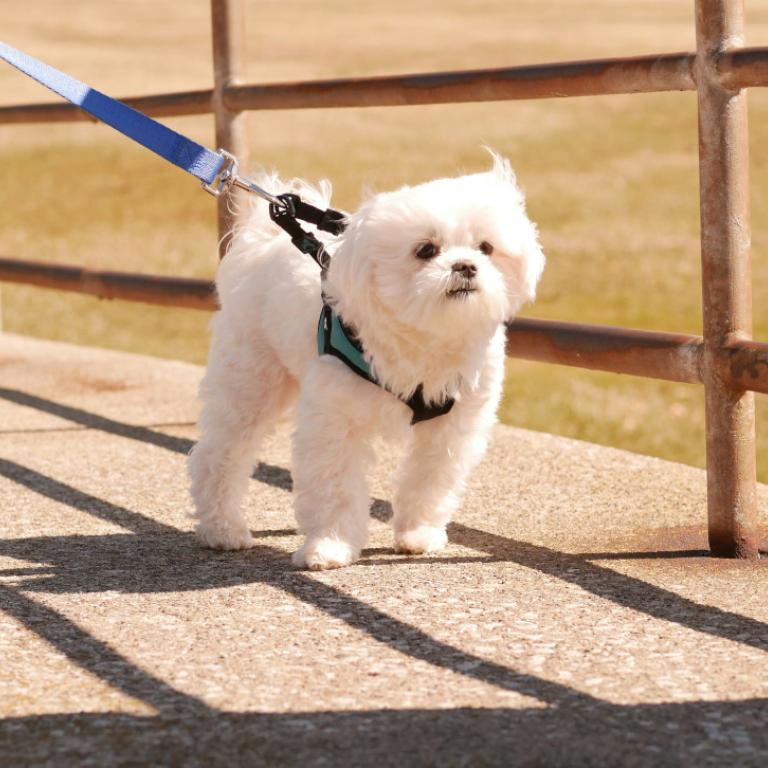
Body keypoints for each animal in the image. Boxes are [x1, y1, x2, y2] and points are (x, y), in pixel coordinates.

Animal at [188, 152, 544, 568]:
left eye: (485, 247)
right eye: (426, 250)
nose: (466, 266)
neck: (427, 336)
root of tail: (265, 240)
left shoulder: (454, 425)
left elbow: (431, 479)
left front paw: (418, 533)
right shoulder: (334, 419)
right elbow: (335, 486)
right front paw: (330, 545)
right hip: (250, 379)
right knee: (221, 453)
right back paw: (222, 528)